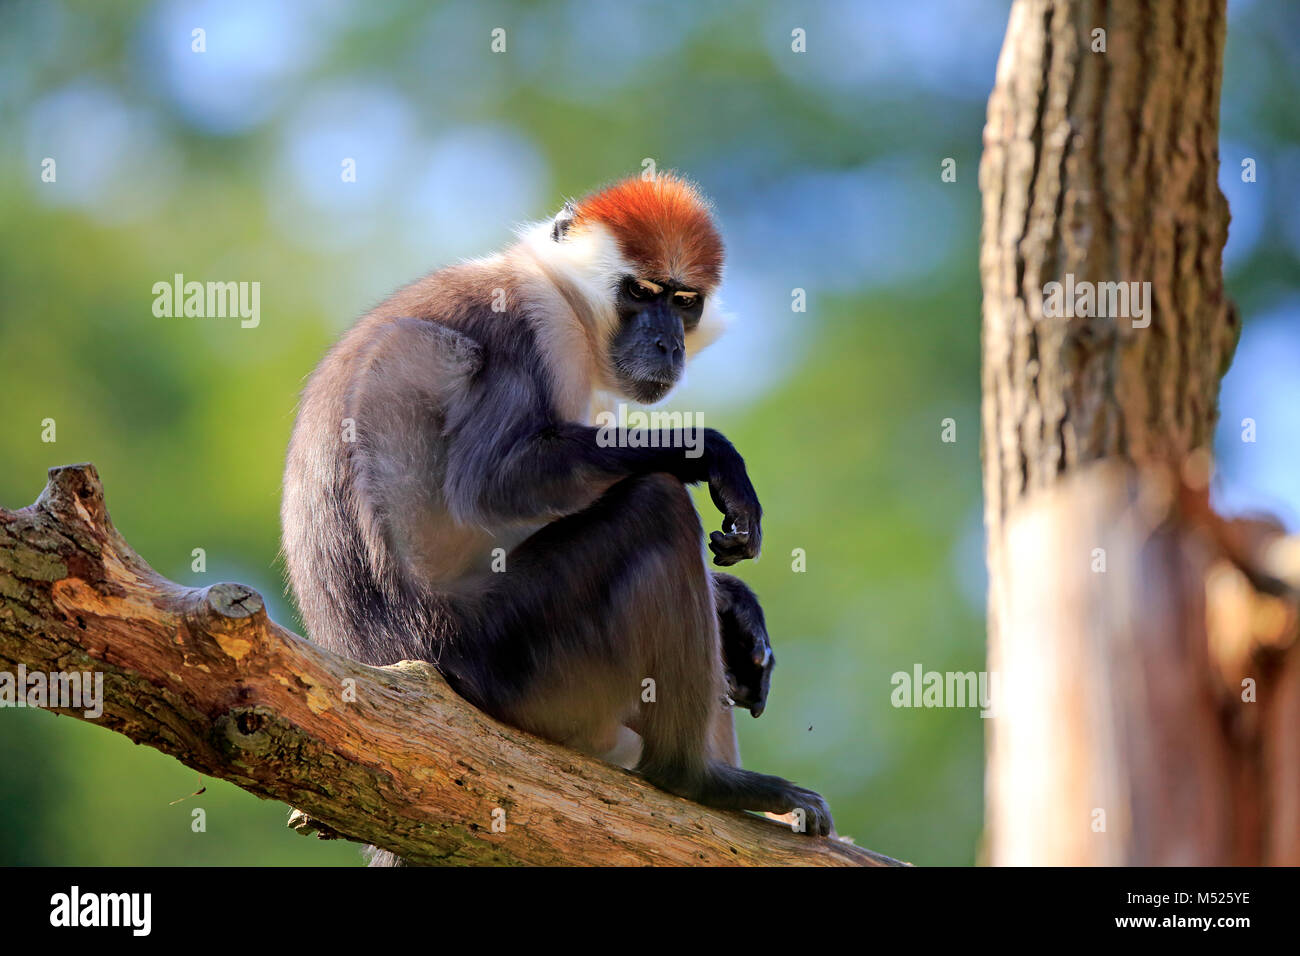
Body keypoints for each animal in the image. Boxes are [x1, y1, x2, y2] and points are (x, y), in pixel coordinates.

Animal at [283, 174, 832, 868]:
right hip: (517, 665)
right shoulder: (530, 327)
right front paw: (709, 454)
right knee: (655, 508)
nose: (666, 343)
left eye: (683, 302)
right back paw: (697, 781)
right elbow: (493, 486)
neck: (565, 298)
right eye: (640, 293)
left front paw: (738, 606)